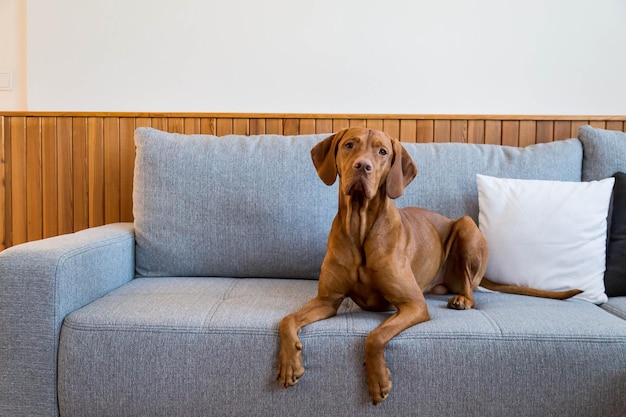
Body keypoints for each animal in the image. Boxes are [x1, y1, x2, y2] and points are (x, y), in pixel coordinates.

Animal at [276, 128, 576, 404]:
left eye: (382, 151)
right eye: (350, 145)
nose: (363, 166)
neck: (360, 227)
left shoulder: (414, 304)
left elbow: (375, 336)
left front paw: (378, 379)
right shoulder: (327, 300)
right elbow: (287, 320)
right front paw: (289, 363)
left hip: (466, 226)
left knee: (470, 285)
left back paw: (462, 300)